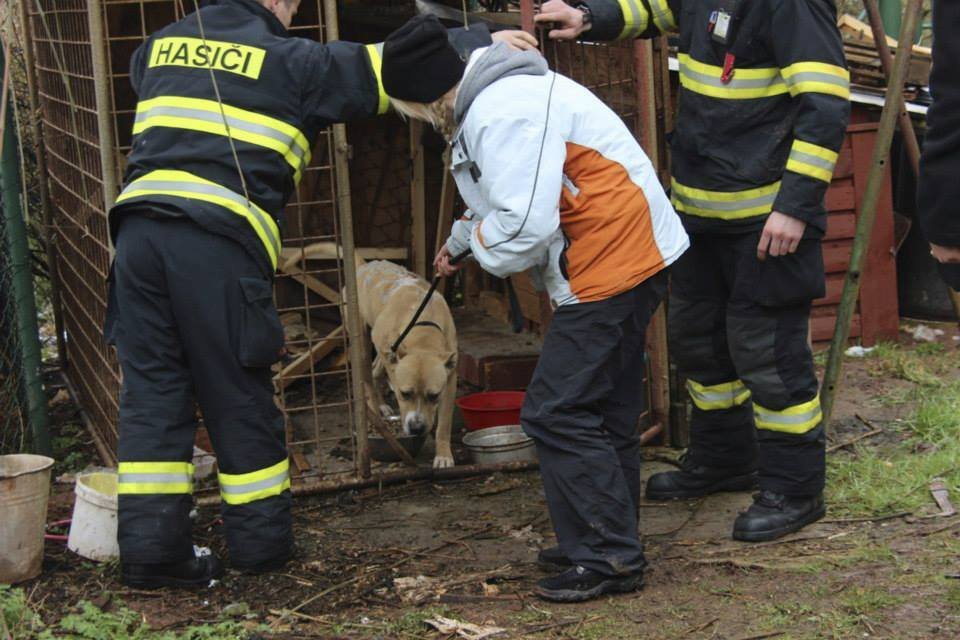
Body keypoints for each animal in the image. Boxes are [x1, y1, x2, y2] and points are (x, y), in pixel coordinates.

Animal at [354, 258, 460, 468]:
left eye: (434, 396)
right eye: (405, 394)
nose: (417, 428)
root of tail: (365, 265)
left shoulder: (450, 379)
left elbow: (444, 423)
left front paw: (443, 455)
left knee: (375, 370)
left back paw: (382, 406)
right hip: (363, 343)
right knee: (368, 376)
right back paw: (376, 412)